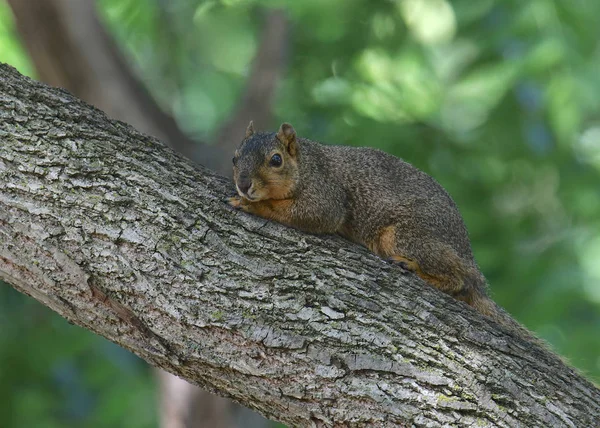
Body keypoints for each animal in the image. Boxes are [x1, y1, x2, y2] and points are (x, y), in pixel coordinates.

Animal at [227, 120, 516, 328]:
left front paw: (253, 206)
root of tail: (471, 263)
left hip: (405, 236)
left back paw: (414, 267)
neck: (306, 164)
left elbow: (315, 214)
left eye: (276, 160)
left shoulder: (326, 195)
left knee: (459, 282)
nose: (243, 184)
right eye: (234, 158)